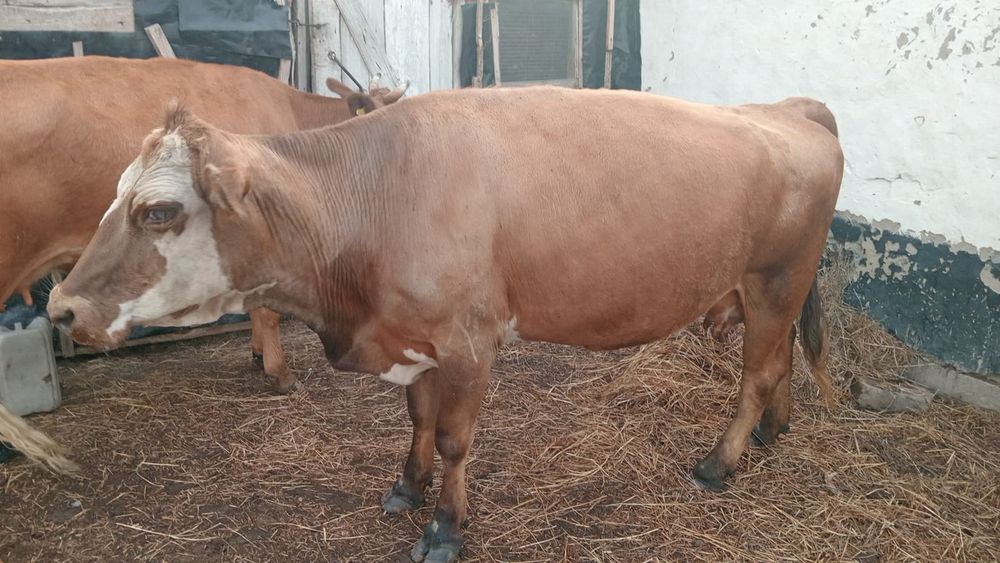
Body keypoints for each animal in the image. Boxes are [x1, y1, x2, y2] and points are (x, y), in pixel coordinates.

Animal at [47, 86, 843, 562]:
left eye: (158, 210)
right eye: (116, 195)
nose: (62, 308)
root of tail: (791, 106)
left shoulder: (469, 344)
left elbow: (457, 438)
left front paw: (445, 526)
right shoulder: (416, 339)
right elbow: (418, 417)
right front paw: (408, 485)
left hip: (775, 279)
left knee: (758, 372)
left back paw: (719, 462)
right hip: (777, 290)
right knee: (778, 367)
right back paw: (773, 432)